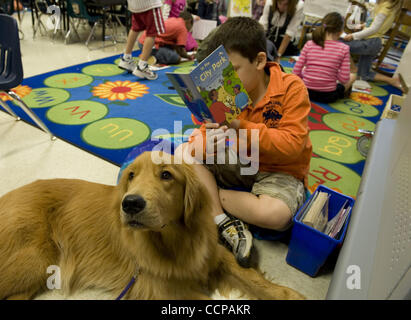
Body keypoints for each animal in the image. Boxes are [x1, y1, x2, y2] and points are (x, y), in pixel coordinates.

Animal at [0, 152, 304, 300]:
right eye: (131, 176)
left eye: (166, 175)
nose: (130, 204)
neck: (175, 239)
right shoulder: (164, 289)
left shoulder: (216, 256)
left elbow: (256, 280)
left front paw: (291, 295)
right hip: (33, 259)